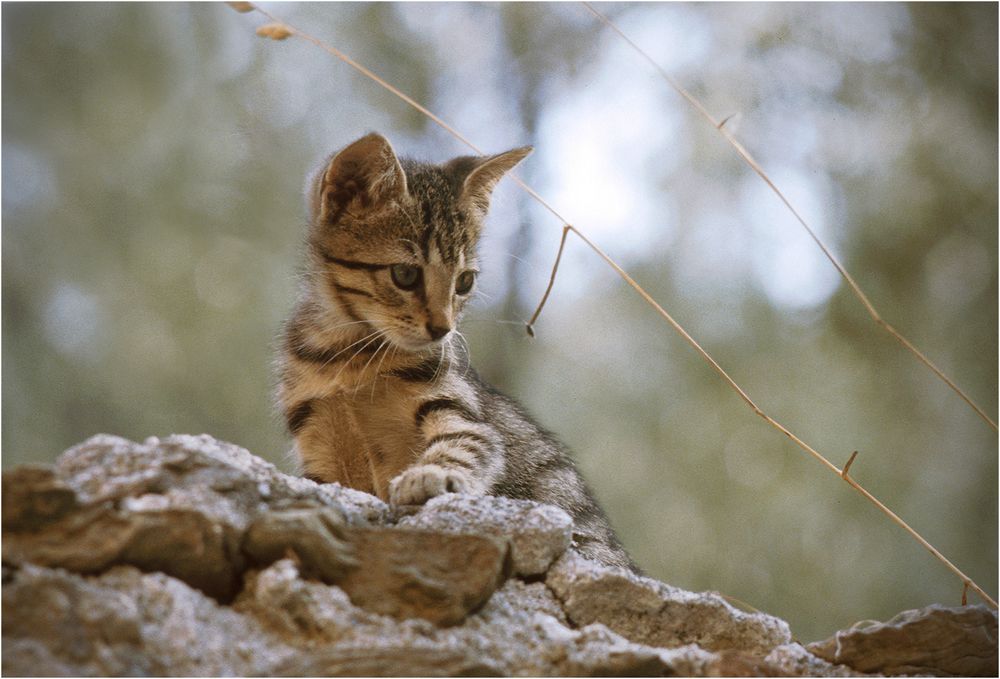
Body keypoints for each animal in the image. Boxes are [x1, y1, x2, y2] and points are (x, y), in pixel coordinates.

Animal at [278, 134, 636, 572]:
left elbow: (464, 445)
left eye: (464, 281)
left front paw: (429, 475)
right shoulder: (317, 446)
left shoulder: (459, 410)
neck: (351, 355)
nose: (443, 329)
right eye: (405, 274)